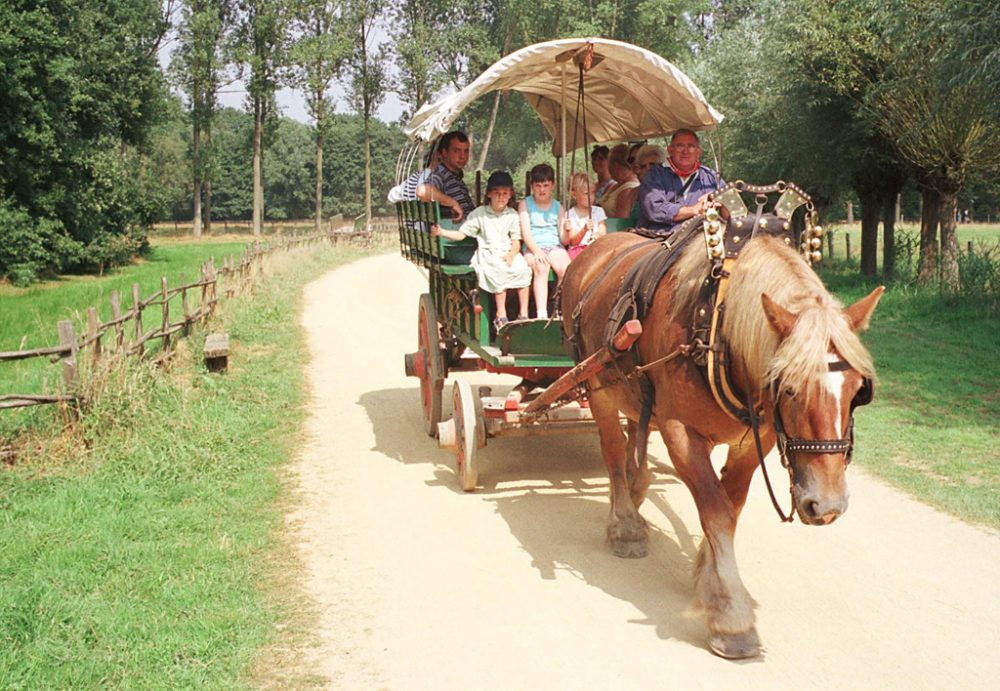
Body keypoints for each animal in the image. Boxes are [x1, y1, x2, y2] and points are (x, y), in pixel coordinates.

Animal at [564, 228, 884, 660]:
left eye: (857, 392)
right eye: (788, 388)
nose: (827, 505)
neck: (716, 329)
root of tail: (600, 244)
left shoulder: (754, 439)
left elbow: (730, 506)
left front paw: (708, 578)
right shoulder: (680, 432)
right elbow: (716, 511)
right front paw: (732, 615)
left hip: (632, 389)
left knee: (635, 435)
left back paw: (635, 491)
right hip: (597, 384)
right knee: (613, 450)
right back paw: (625, 523)